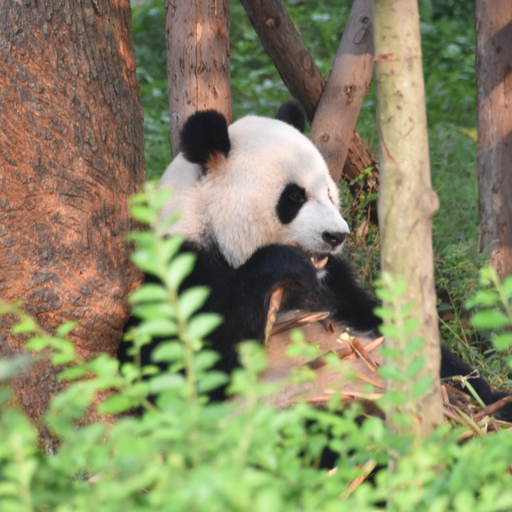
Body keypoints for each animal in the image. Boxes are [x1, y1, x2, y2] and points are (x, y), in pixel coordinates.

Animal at [131, 101, 508, 424]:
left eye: (327, 192)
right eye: (294, 197)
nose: (336, 236)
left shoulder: (335, 286)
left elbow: (391, 326)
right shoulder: (182, 267)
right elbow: (176, 373)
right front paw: (281, 262)